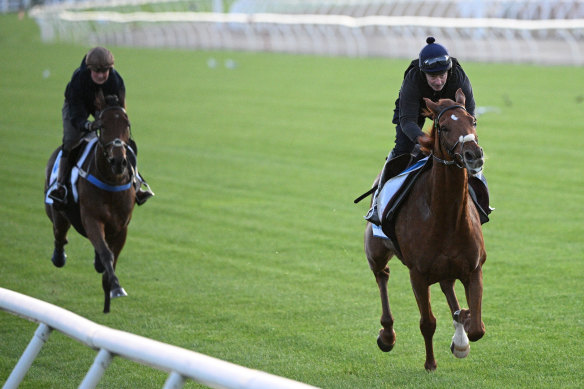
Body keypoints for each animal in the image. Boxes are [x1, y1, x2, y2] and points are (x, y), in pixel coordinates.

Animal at [44, 98, 136, 312]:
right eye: (102, 126)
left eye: (126, 125)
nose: (118, 161)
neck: (111, 182)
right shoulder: (91, 218)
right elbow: (106, 253)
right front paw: (115, 285)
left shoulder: (122, 227)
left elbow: (112, 255)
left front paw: (113, 288)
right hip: (58, 214)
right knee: (59, 235)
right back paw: (59, 257)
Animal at [364, 88, 488, 370]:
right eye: (443, 127)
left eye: (473, 121)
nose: (473, 155)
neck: (446, 218)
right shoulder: (418, 275)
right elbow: (427, 323)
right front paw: (431, 363)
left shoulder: (474, 268)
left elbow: (477, 327)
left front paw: (462, 334)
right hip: (375, 250)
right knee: (382, 275)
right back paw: (387, 335)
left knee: (447, 286)